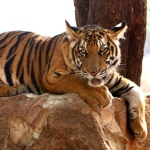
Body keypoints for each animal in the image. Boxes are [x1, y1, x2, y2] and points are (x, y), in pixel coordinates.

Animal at [0, 20, 147, 141]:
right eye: (83, 52)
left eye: (102, 50)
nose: (93, 72)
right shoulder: (51, 77)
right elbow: (75, 79)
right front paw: (99, 95)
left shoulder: (115, 79)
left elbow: (137, 92)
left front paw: (141, 129)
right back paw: (16, 89)